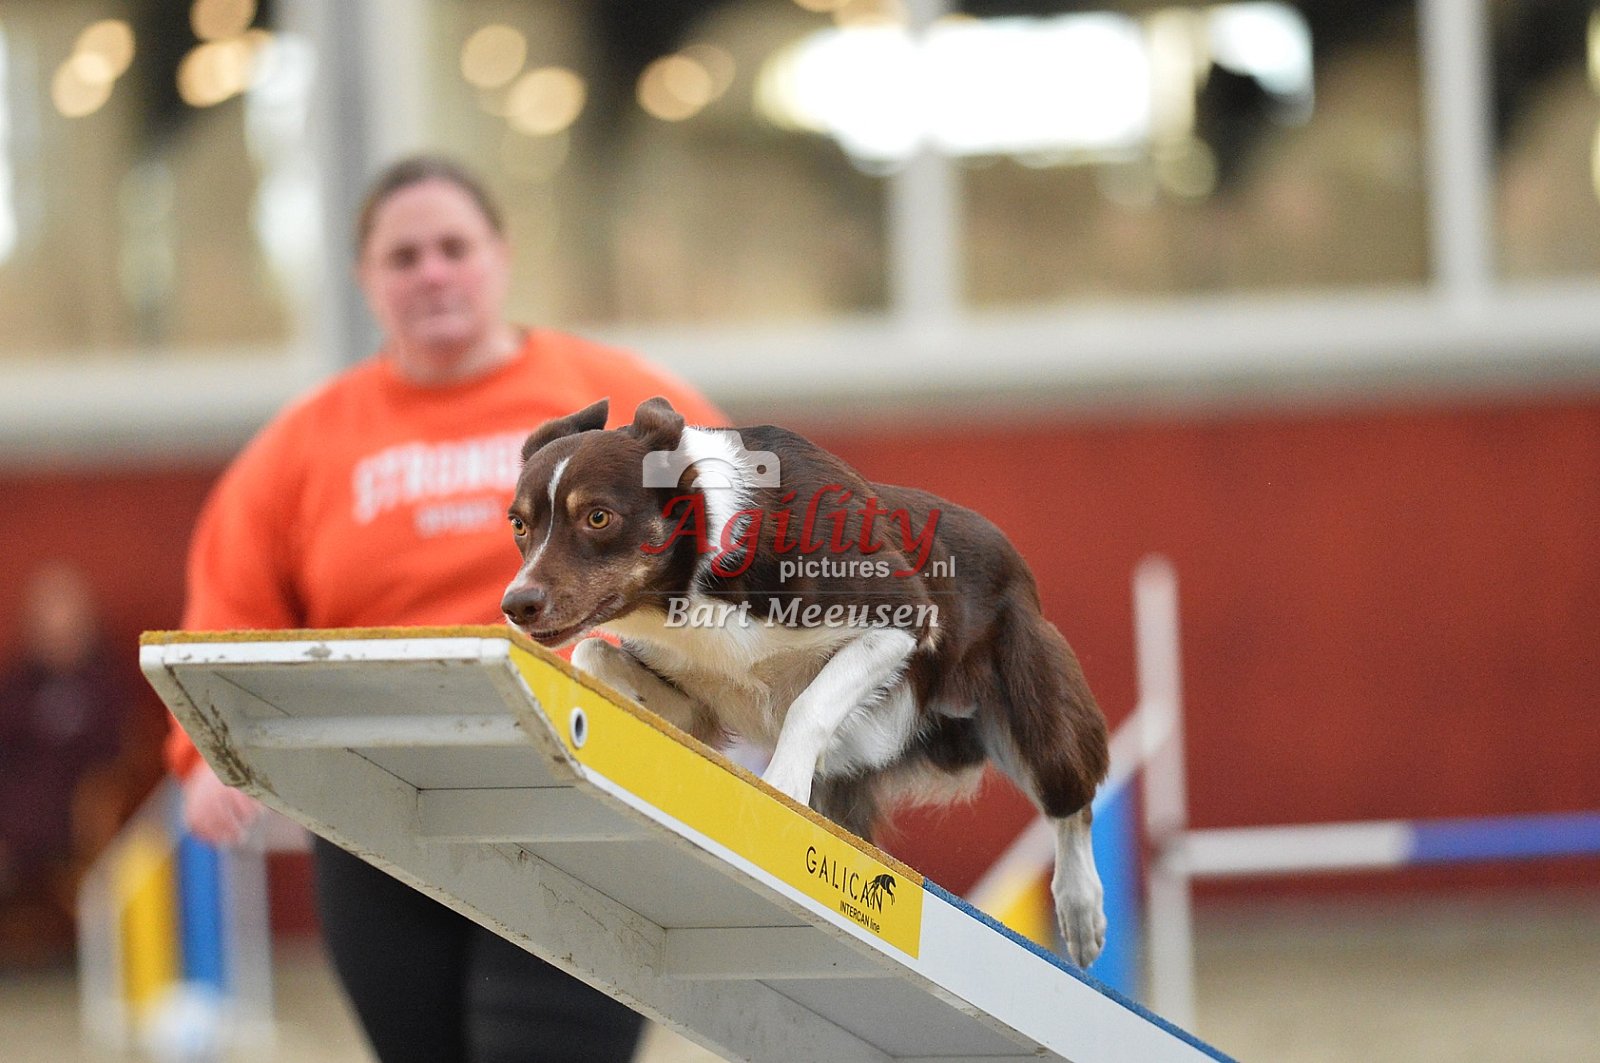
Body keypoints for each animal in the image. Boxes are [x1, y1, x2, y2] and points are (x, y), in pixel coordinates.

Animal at [500, 397, 1110, 966]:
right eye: (520, 524)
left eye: (598, 517)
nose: (515, 605)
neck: (702, 571)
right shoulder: (697, 697)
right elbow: (592, 654)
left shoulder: (902, 616)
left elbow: (810, 706)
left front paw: (784, 789)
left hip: (1030, 707)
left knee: (1071, 801)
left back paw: (1081, 910)